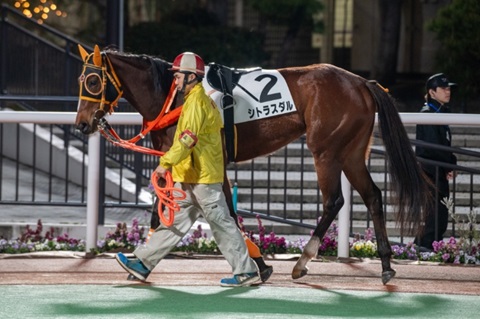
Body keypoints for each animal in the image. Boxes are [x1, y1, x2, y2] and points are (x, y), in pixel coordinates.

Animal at [76, 44, 432, 284]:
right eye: (82, 80)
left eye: (93, 82)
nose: (82, 124)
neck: (174, 95)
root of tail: (363, 83)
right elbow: (174, 211)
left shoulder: (208, 161)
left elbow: (222, 212)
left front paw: (257, 264)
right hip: (352, 152)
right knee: (373, 195)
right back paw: (386, 265)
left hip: (326, 151)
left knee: (334, 200)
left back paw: (302, 262)